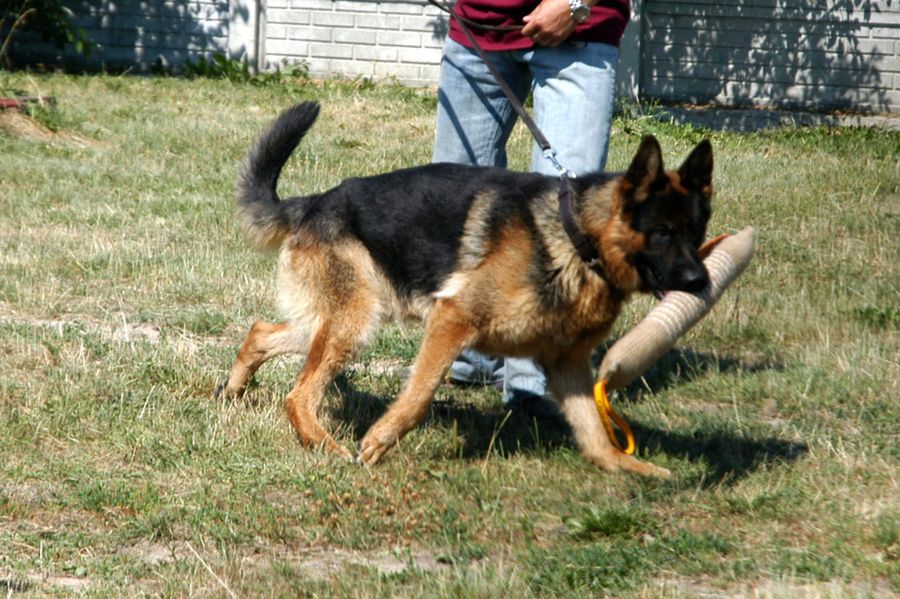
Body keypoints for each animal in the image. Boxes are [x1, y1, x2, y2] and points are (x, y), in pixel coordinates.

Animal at [216, 103, 712, 478]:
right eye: (662, 232)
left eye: (697, 231)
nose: (701, 284)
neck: (576, 239)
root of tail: (313, 203)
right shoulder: (452, 319)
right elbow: (418, 395)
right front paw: (378, 442)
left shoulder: (567, 363)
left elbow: (593, 428)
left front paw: (625, 466)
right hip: (353, 322)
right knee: (298, 395)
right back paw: (324, 445)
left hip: (341, 319)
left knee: (262, 333)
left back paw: (234, 391)